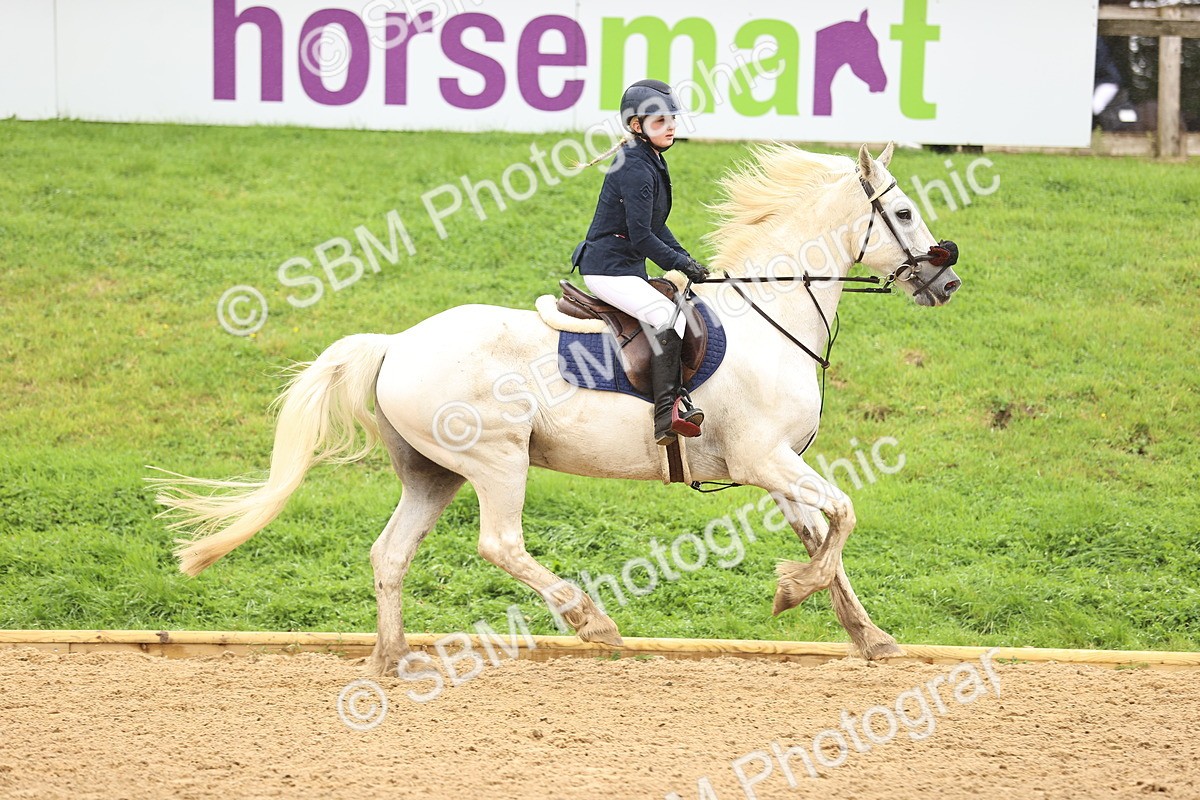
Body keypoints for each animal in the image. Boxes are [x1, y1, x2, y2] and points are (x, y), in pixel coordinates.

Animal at [150, 142, 962, 677]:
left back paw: (391, 656)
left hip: (433, 474)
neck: (773, 314)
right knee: (500, 544)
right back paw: (591, 621)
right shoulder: (768, 459)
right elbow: (845, 517)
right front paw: (793, 590)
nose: (945, 283)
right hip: (496, 460)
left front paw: (868, 635)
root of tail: (397, 343)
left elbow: (829, 540)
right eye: (902, 211)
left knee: (391, 554)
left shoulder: (777, 469)